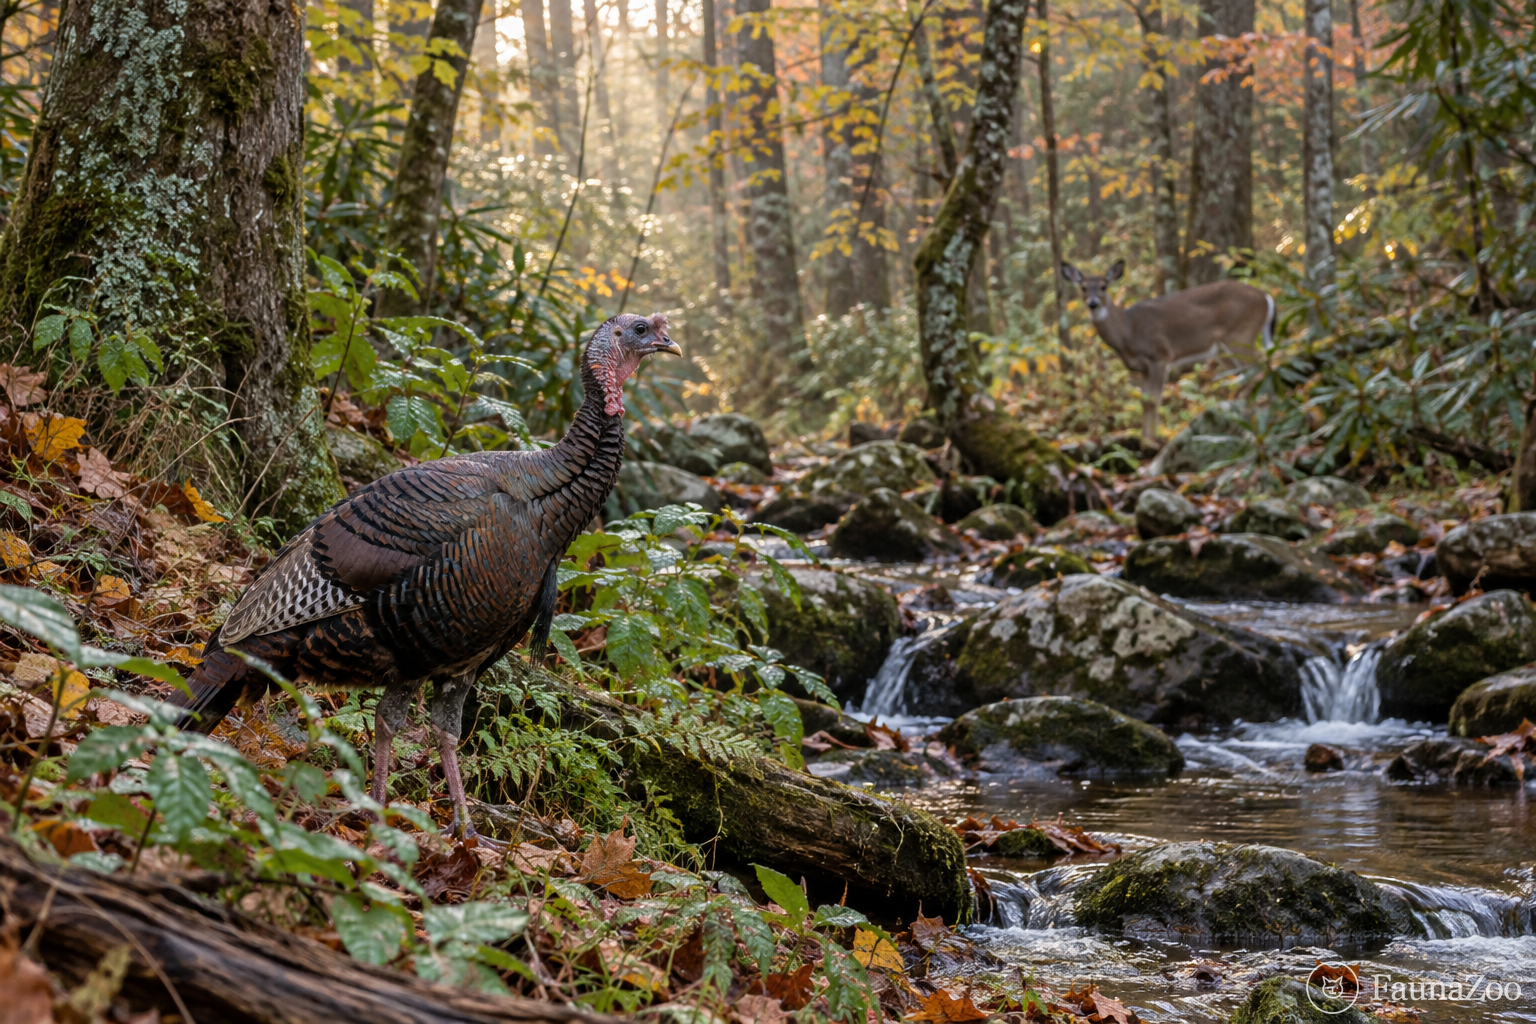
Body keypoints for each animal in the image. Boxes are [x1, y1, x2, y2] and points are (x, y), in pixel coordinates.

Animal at [1060, 260, 1275, 445]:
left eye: (1104, 286)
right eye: (1083, 287)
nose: (1093, 303)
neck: (1128, 331)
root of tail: (1266, 298)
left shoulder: (1160, 356)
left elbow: (1153, 401)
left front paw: (1151, 442)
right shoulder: (1143, 368)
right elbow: (1145, 402)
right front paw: (1146, 439)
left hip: (1240, 333)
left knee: (1260, 365)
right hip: (1224, 349)